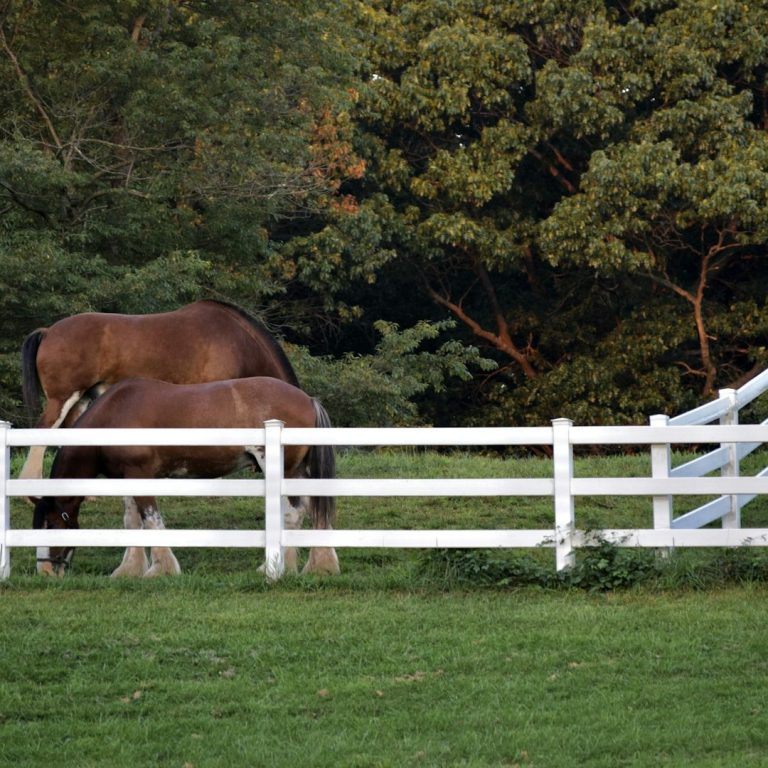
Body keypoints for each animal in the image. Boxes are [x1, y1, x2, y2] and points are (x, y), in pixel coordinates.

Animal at [32, 376, 339, 578]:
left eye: (51, 524)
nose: (45, 570)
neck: (114, 416)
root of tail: (307, 399)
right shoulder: (127, 478)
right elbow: (132, 522)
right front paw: (129, 569)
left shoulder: (141, 476)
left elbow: (151, 520)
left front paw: (162, 569)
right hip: (298, 472)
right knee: (311, 512)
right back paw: (315, 565)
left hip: (281, 470)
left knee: (292, 513)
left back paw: (276, 567)